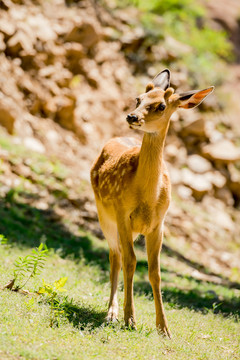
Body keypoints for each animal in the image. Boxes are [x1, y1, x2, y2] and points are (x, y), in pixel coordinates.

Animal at [90, 68, 214, 338]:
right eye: (138, 98)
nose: (132, 116)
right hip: (104, 214)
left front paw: (164, 328)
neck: (147, 196)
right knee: (115, 256)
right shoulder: (123, 214)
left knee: (117, 256)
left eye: (161, 106)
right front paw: (130, 319)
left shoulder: (159, 224)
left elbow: (155, 272)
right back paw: (111, 313)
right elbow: (131, 262)